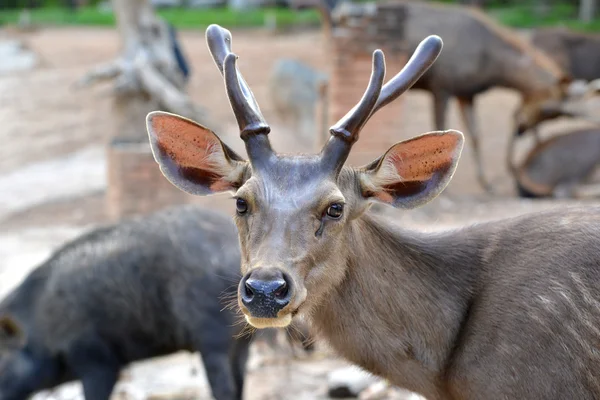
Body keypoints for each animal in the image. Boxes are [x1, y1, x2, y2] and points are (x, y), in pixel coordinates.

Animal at [294, 0, 600, 193]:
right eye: (550, 109)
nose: (521, 127)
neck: (492, 68)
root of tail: (337, 13)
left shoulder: (467, 93)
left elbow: (475, 135)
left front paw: (487, 183)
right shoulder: (444, 87)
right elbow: (440, 125)